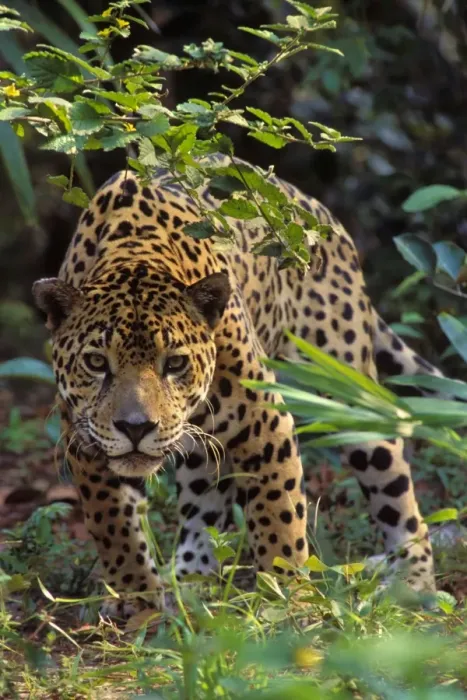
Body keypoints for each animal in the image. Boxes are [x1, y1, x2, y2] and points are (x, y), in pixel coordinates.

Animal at [33, 155, 444, 616]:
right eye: (96, 362)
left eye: (175, 363)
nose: (136, 428)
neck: (134, 254)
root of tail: (323, 214)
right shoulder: (83, 439)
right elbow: (113, 525)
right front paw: (137, 601)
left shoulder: (265, 420)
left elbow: (279, 516)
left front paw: (290, 600)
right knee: (204, 493)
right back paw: (191, 578)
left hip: (348, 394)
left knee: (397, 492)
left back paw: (413, 581)